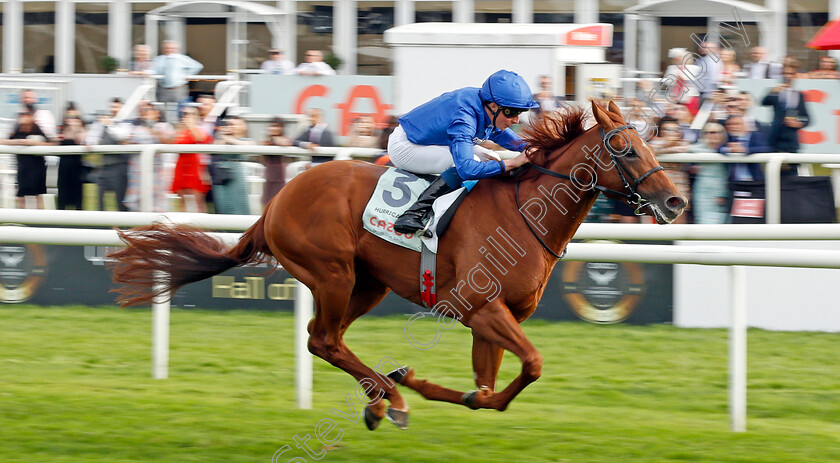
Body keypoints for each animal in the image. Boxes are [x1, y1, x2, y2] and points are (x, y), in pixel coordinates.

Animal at [110, 101, 684, 432]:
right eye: (626, 149)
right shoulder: (481, 309)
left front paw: (428, 384)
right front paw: (412, 381)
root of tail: (273, 204)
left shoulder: (495, 319)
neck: (525, 212)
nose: (675, 202)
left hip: (368, 284)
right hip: (332, 273)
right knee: (324, 339)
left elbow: (486, 392)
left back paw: (381, 399)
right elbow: (531, 366)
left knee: (327, 340)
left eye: (649, 143)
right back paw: (391, 399)